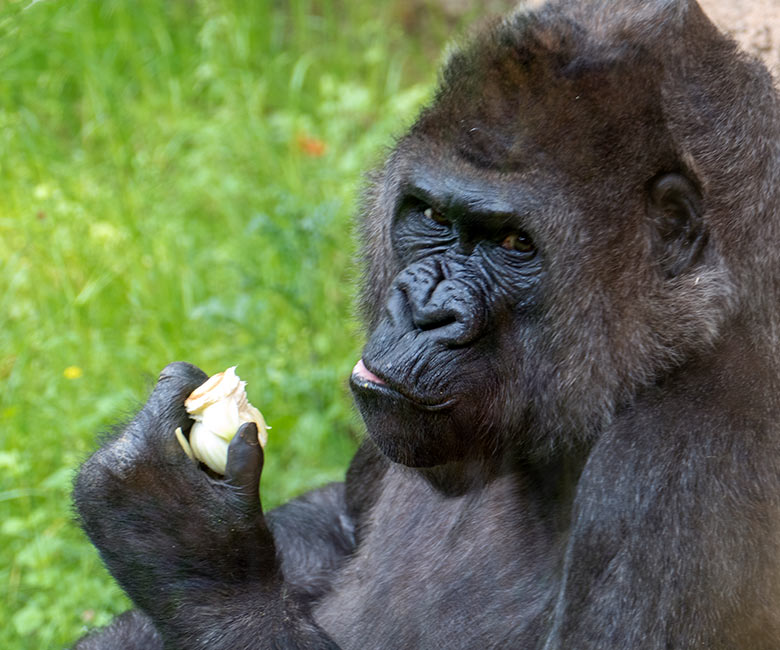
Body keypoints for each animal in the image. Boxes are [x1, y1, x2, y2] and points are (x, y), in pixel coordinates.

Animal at [71, 0, 780, 644]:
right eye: (434, 217)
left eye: (515, 244)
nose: (425, 310)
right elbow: (335, 525)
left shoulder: (689, 453)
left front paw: (181, 538)